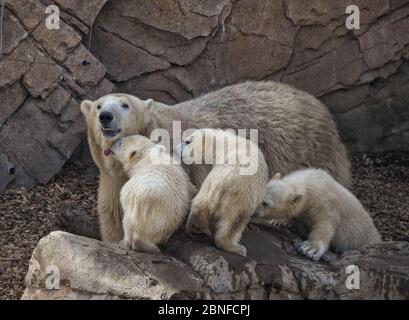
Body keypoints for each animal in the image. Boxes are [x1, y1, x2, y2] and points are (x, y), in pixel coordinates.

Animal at [80, 81, 350, 241]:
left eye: (125, 104)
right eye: (98, 105)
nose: (106, 116)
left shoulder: (188, 165)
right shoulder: (112, 177)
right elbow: (113, 210)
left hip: (306, 149)